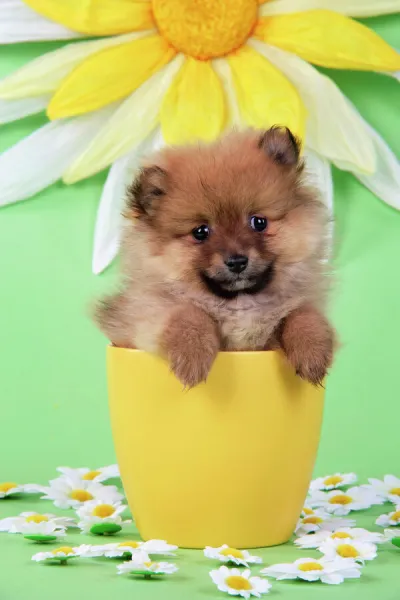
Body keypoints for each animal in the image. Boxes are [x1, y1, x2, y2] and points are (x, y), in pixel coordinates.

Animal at [96, 127, 334, 390]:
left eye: (259, 222)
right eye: (201, 232)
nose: (237, 261)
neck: (239, 303)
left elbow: (303, 314)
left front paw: (312, 353)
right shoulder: (143, 316)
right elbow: (187, 313)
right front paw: (193, 356)